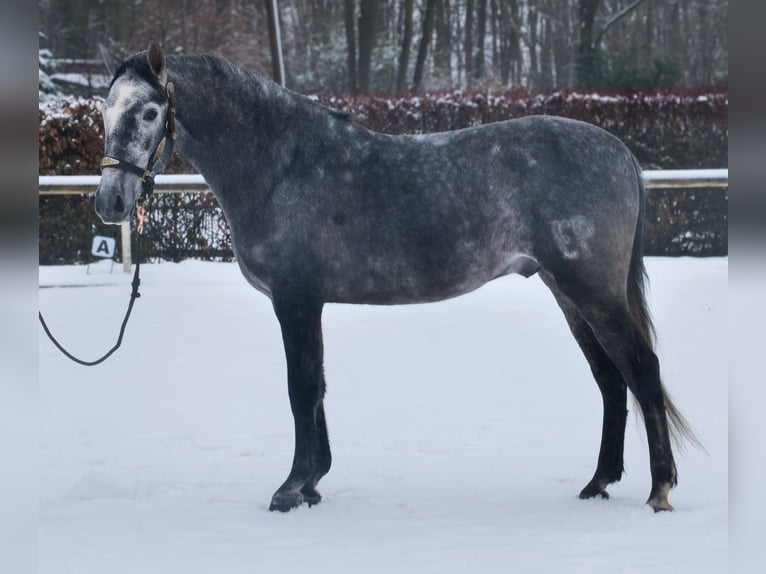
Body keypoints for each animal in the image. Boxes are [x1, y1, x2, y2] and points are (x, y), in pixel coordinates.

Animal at [95, 41, 697, 513]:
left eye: (149, 111)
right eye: (104, 111)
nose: (110, 202)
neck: (281, 165)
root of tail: (619, 152)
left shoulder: (295, 300)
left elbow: (300, 388)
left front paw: (291, 489)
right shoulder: (309, 304)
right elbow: (317, 387)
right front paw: (313, 484)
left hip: (592, 292)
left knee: (641, 371)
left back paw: (660, 490)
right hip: (568, 293)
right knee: (610, 380)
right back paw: (598, 483)